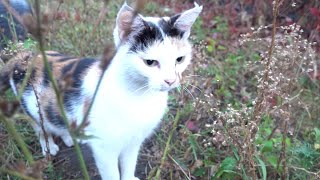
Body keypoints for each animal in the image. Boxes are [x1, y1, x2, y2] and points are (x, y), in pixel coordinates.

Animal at [0, 1, 201, 180]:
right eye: (150, 62)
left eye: (180, 59)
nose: (171, 80)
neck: (139, 96)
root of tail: (23, 56)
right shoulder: (105, 150)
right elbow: (112, 174)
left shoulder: (133, 142)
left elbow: (129, 164)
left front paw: (129, 177)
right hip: (32, 108)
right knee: (40, 127)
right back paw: (49, 144)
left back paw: (70, 136)